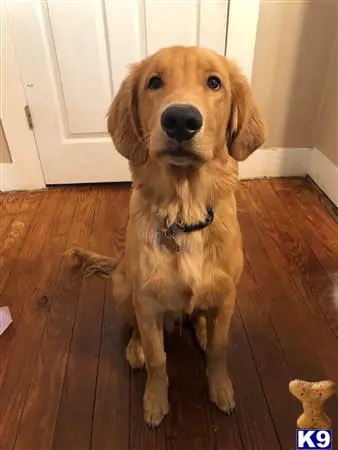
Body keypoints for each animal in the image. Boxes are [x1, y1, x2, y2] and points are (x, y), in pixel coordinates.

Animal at [70, 45, 266, 428]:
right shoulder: (147, 302)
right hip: (122, 288)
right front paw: (155, 401)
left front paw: (220, 388)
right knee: (134, 327)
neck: (183, 212)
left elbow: (219, 348)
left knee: (200, 318)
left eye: (215, 83)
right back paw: (135, 348)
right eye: (154, 82)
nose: (180, 120)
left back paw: (201, 331)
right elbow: (158, 358)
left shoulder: (228, 295)